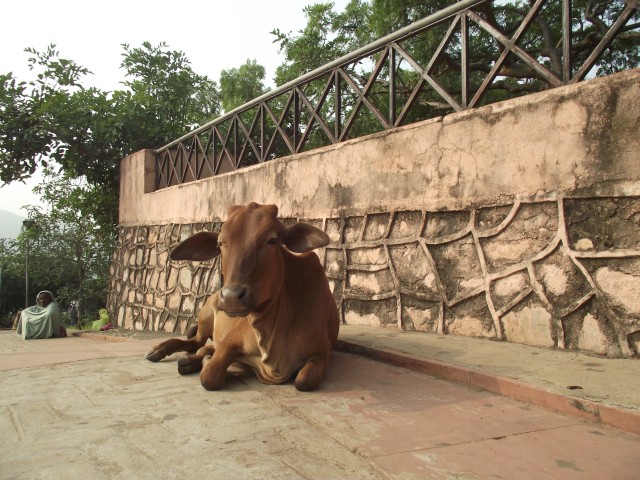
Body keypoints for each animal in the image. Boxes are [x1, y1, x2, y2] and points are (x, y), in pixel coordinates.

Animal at [145, 202, 340, 391]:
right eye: (220, 243)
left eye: (273, 240)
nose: (231, 297)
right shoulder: (231, 342)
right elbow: (209, 375)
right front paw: (208, 362)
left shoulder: (322, 351)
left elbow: (304, 381)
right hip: (205, 316)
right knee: (195, 342)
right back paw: (161, 350)